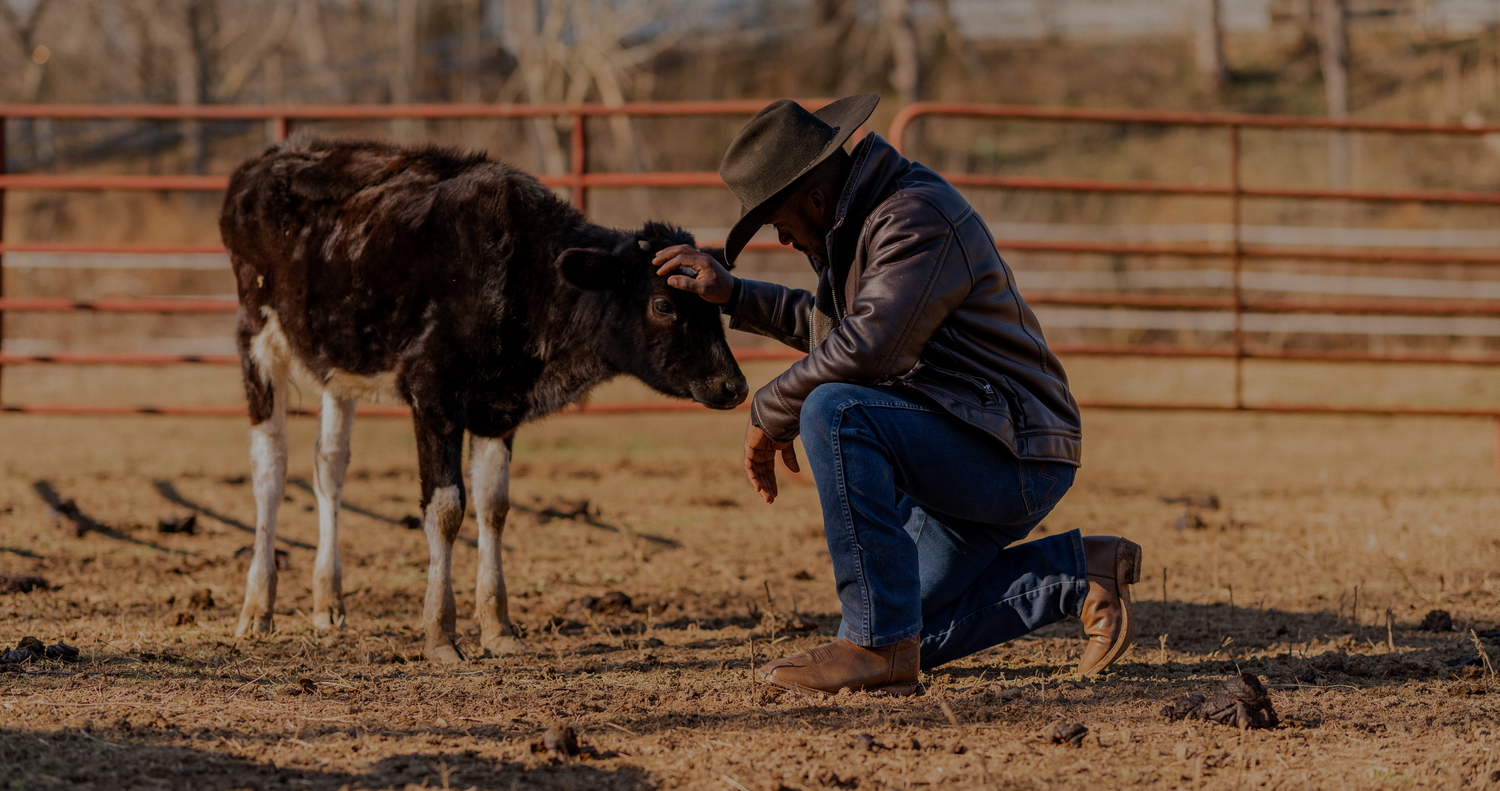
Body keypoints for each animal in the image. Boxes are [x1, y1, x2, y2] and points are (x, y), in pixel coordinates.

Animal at [216, 136, 744, 663]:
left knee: (330, 465)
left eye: (716, 304)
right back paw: (257, 606)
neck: (523, 278)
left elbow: (495, 506)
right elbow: (447, 508)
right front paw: (440, 633)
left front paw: (498, 627)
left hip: (336, 358)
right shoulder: (432, 393)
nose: (734, 385)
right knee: (271, 470)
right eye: (663, 305)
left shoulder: (499, 407)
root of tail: (275, 154)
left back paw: (328, 602)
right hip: (256, 335)